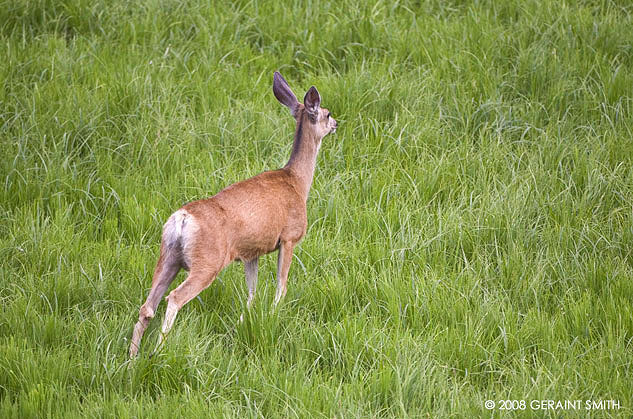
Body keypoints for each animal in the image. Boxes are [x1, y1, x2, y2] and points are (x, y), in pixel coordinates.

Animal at [128, 72, 336, 358]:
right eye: (327, 113)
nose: (336, 123)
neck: (297, 182)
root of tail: (182, 218)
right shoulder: (289, 237)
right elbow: (280, 286)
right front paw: (274, 314)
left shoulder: (251, 251)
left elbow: (252, 293)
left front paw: (244, 323)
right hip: (207, 262)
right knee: (175, 298)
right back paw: (159, 350)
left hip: (168, 256)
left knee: (147, 306)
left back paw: (132, 358)